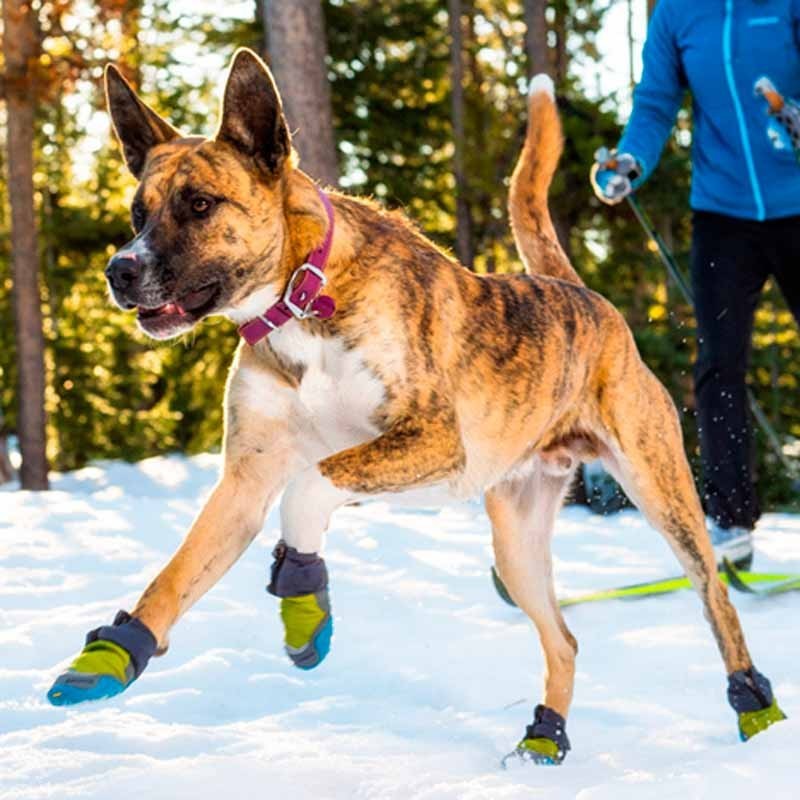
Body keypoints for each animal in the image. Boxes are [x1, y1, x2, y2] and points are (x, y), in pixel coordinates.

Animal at [45, 50, 788, 764]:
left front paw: (303, 596)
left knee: (715, 595)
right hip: (515, 540)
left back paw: (754, 703)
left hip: (661, 489)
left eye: (200, 204)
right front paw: (116, 653)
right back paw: (546, 734)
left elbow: (307, 490)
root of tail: (582, 296)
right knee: (564, 639)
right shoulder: (248, 477)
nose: (119, 269)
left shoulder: (427, 441)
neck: (300, 297)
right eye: (138, 213)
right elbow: (177, 574)